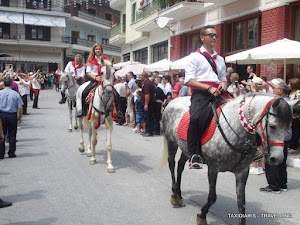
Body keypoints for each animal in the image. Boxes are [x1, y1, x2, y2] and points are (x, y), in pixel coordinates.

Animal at [162, 93, 298, 225]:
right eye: (272, 126)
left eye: (288, 127)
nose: (277, 159)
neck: (237, 128)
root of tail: (172, 101)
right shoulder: (213, 168)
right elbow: (212, 197)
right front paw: (202, 216)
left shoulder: (242, 172)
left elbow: (241, 203)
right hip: (171, 141)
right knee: (172, 164)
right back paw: (175, 195)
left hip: (186, 148)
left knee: (180, 166)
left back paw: (179, 195)